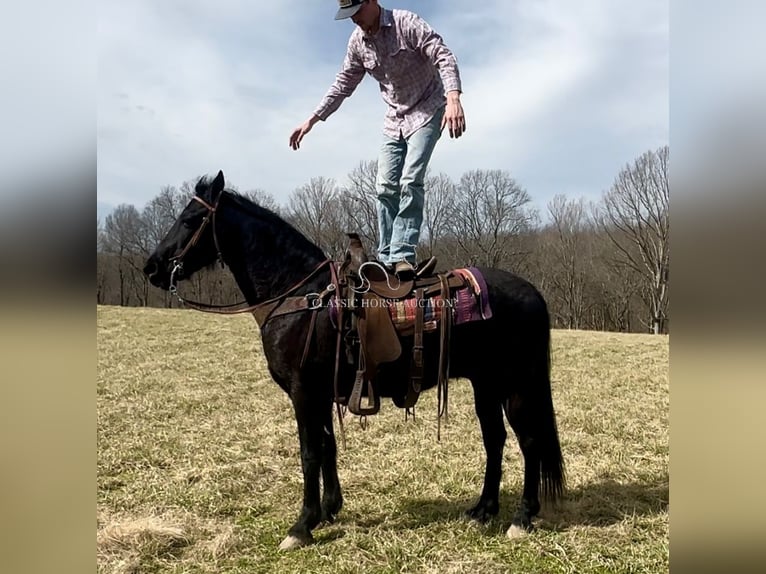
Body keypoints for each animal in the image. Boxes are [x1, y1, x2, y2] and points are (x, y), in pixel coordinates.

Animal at [144, 172, 564, 552]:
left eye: (190, 219)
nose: (152, 267)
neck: (302, 296)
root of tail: (531, 292)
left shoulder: (303, 393)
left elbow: (310, 452)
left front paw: (302, 526)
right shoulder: (320, 393)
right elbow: (327, 445)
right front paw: (329, 509)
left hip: (517, 384)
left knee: (529, 441)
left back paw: (522, 518)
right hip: (486, 384)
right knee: (495, 439)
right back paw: (483, 509)